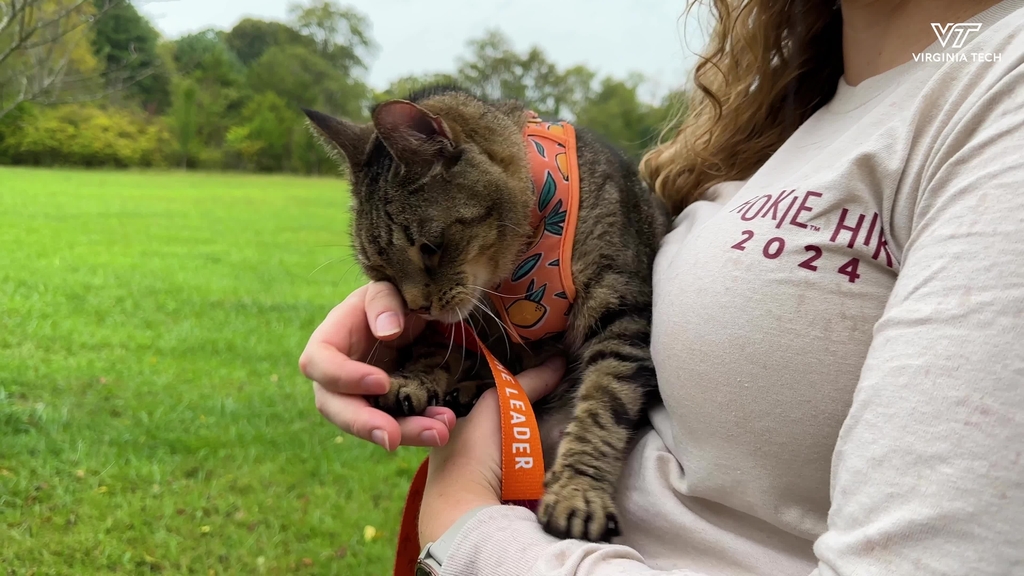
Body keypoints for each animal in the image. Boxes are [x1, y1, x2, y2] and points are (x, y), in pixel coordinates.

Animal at [301, 83, 671, 541]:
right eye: (381, 273)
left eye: (430, 249)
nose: (417, 306)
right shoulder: (466, 320)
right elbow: (435, 347)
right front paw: (413, 377)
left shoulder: (622, 316)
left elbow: (604, 402)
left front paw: (578, 491)